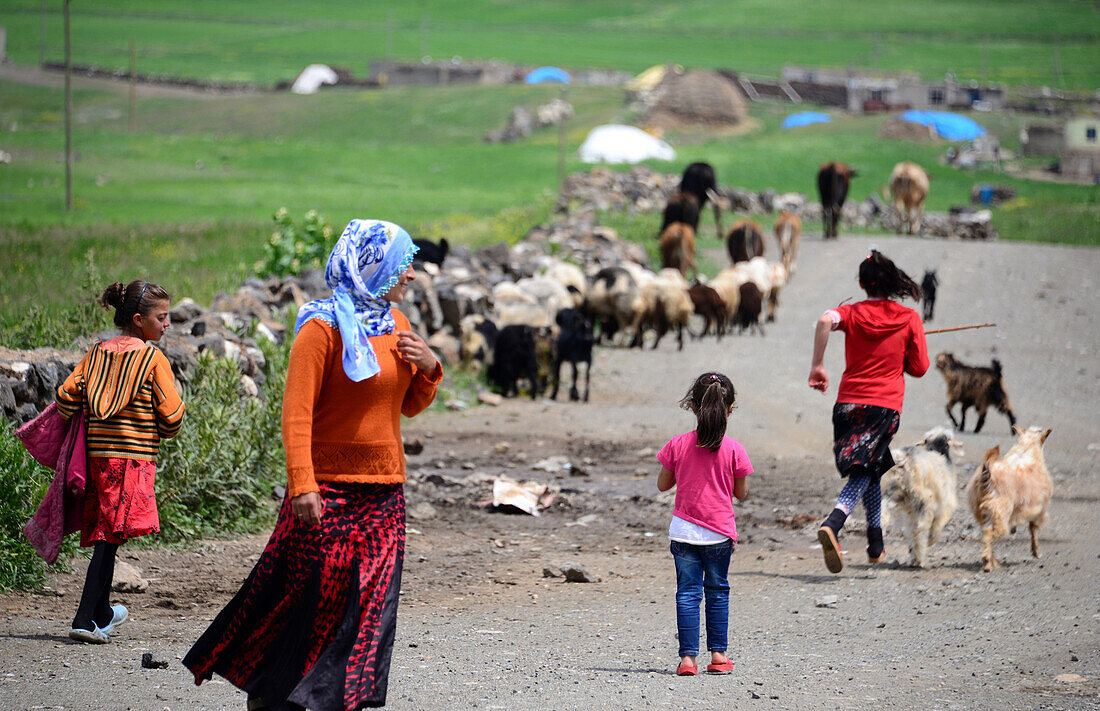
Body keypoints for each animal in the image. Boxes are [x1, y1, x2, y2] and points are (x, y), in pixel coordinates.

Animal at [880, 429, 959, 567]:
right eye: (947, 444)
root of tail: (903, 460)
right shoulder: (944, 506)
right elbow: (936, 525)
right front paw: (931, 540)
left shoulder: (910, 513)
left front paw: (913, 556)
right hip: (922, 497)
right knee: (920, 527)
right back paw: (922, 549)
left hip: (891, 493)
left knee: (883, 513)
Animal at [968, 429, 1051, 572]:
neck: (1026, 450)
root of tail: (987, 475)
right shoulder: (1040, 509)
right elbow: (1033, 530)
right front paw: (1036, 552)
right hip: (1000, 513)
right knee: (990, 535)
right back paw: (988, 563)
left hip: (984, 513)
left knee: (986, 534)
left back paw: (991, 561)